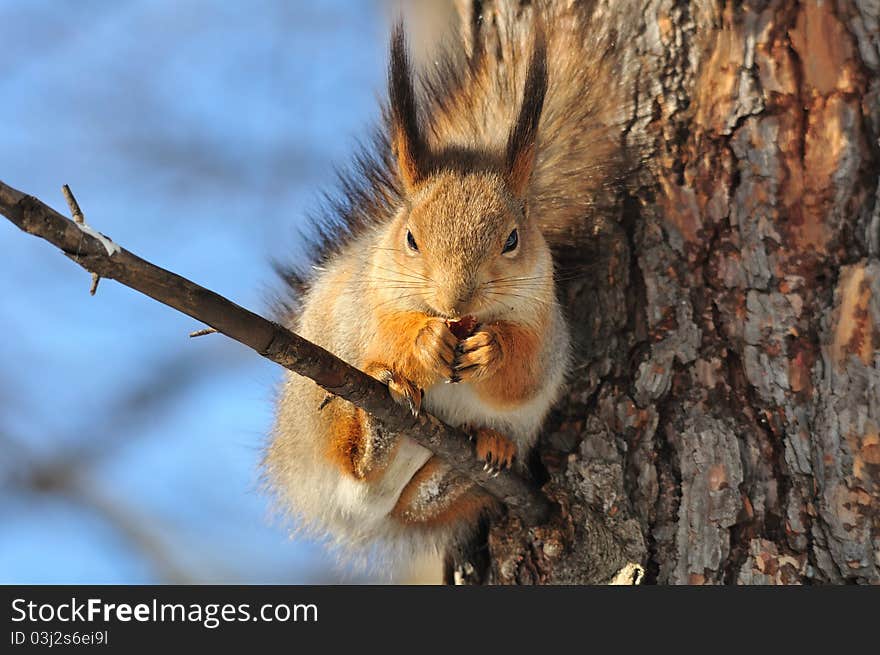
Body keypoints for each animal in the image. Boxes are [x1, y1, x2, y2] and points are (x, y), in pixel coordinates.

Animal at [264, 3, 628, 564]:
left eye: (512, 238)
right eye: (411, 237)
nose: (456, 301)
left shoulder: (545, 324)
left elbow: (524, 372)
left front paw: (491, 349)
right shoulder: (367, 302)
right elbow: (387, 333)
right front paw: (424, 340)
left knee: (420, 500)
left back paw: (481, 454)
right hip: (320, 408)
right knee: (353, 456)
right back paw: (382, 426)